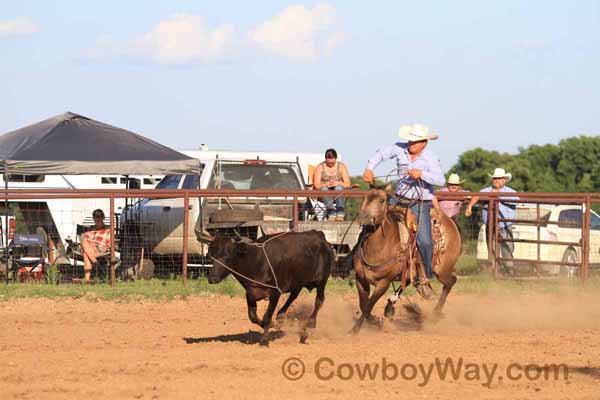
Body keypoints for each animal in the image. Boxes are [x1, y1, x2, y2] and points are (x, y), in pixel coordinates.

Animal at [350, 185, 462, 334]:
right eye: (364, 197)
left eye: (382, 200)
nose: (363, 217)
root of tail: (450, 221)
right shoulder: (360, 280)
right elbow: (363, 305)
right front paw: (375, 321)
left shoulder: (384, 283)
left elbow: (369, 305)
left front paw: (354, 330)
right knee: (408, 282)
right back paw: (390, 307)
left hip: (442, 270)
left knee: (451, 281)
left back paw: (435, 314)